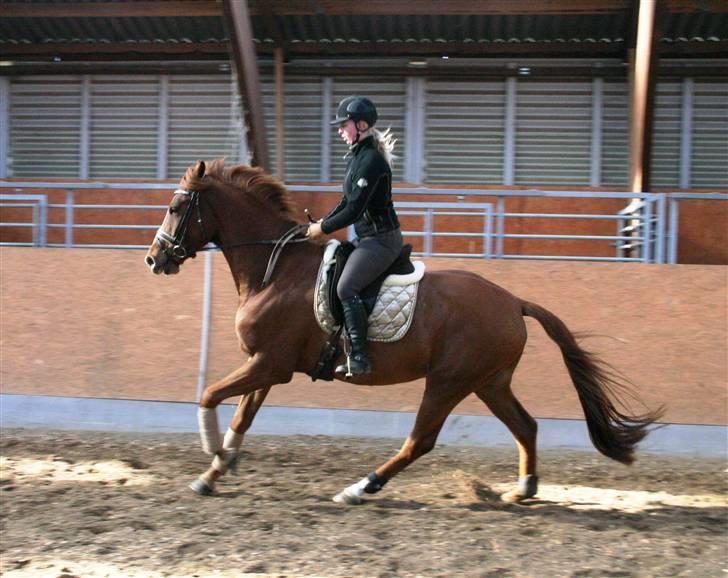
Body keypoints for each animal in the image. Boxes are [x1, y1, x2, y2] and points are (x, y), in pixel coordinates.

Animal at [145, 160, 664, 502]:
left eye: (176, 205)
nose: (155, 259)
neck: (276, 270)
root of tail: (513, 301)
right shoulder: (267, 367)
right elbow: (242, 417)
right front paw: (218, 468)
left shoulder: (269, 364)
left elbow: (210, 396)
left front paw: (212, 455)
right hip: (489, 382)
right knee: (525, 426)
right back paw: (523, 490)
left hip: (448, 382)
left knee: (420, 441)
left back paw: (360, 487)